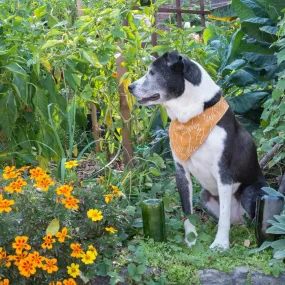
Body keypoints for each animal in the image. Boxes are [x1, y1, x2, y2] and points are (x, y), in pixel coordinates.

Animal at [127, 50, 266, 248]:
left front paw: (220, 244)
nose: (129, 87)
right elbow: (187, 211)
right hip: (204, 196)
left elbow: (224, 216)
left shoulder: (224, 173)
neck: (193, 116)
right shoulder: (181, 171)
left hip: (251, 193)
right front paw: (191, 239)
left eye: (152, 72)